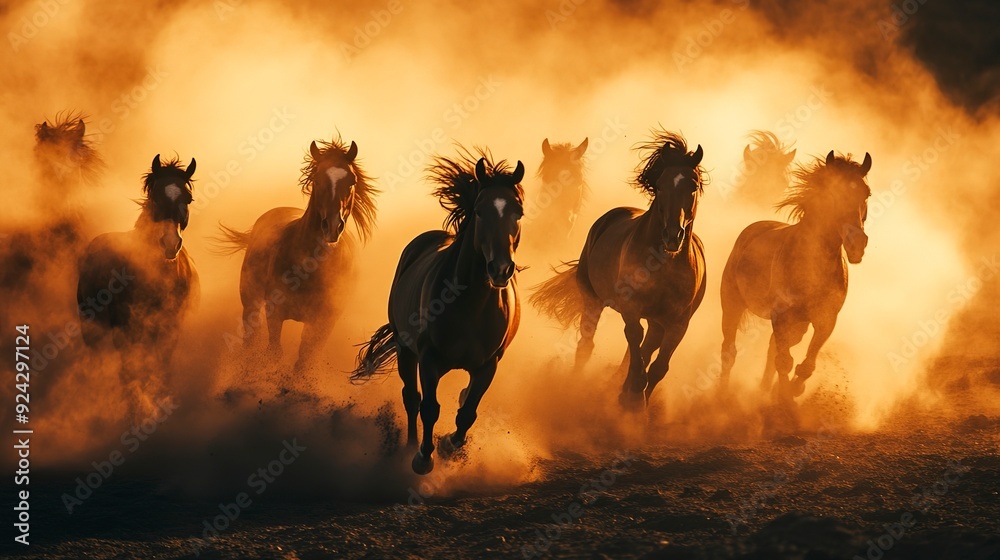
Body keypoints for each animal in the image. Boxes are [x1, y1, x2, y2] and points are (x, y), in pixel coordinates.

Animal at [77, 155, 199, 421]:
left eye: (187, 199)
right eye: (155, 197)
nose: (170, 244)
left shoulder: (170, 325)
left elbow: (159, 365)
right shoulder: (126, 326)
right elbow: (130, 368)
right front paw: (136, 411)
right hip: (93, 324)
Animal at [213, 136, 377, 371]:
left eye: (352, 181)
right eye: (317, 179)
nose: (332, 226)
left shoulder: (324, 322)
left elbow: (304, 361)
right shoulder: (274, 312)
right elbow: (274, 352)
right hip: (250, 300)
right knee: (250, 339)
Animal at [352, 149, 525, 475]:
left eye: (518, 212)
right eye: (480, 211)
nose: (500, 269)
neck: (471, 307)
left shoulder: (488, 365)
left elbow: (467, 412)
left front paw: (449, 445)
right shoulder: (429, 358)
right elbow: (429, 407)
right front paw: (423, 458)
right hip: (406, 351)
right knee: (411, 398)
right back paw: (409, 447)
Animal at [531, 130, 707, 410]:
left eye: (693, 185)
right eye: (660, 185)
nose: (672, 235)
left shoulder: (679, 323)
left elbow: (658, 366)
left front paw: (635, 402)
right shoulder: (631, 307)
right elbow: (635, 341)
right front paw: (632, 394)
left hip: (657, 320)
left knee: (646, 346)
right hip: (593, 300)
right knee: (587, 344)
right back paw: (576, 382)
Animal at [718, 150, 872, 400]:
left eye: (866, 193)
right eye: (833, 190)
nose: (856, 242)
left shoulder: (825, 321)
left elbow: (805, 365)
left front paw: (791, 389)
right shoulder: (781, 316)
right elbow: (784, 362)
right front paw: (783, 397)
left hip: (798, 326)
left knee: (773, 347)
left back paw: (764, 388)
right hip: (732, 304)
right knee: (729, 351)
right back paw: (721, 392)